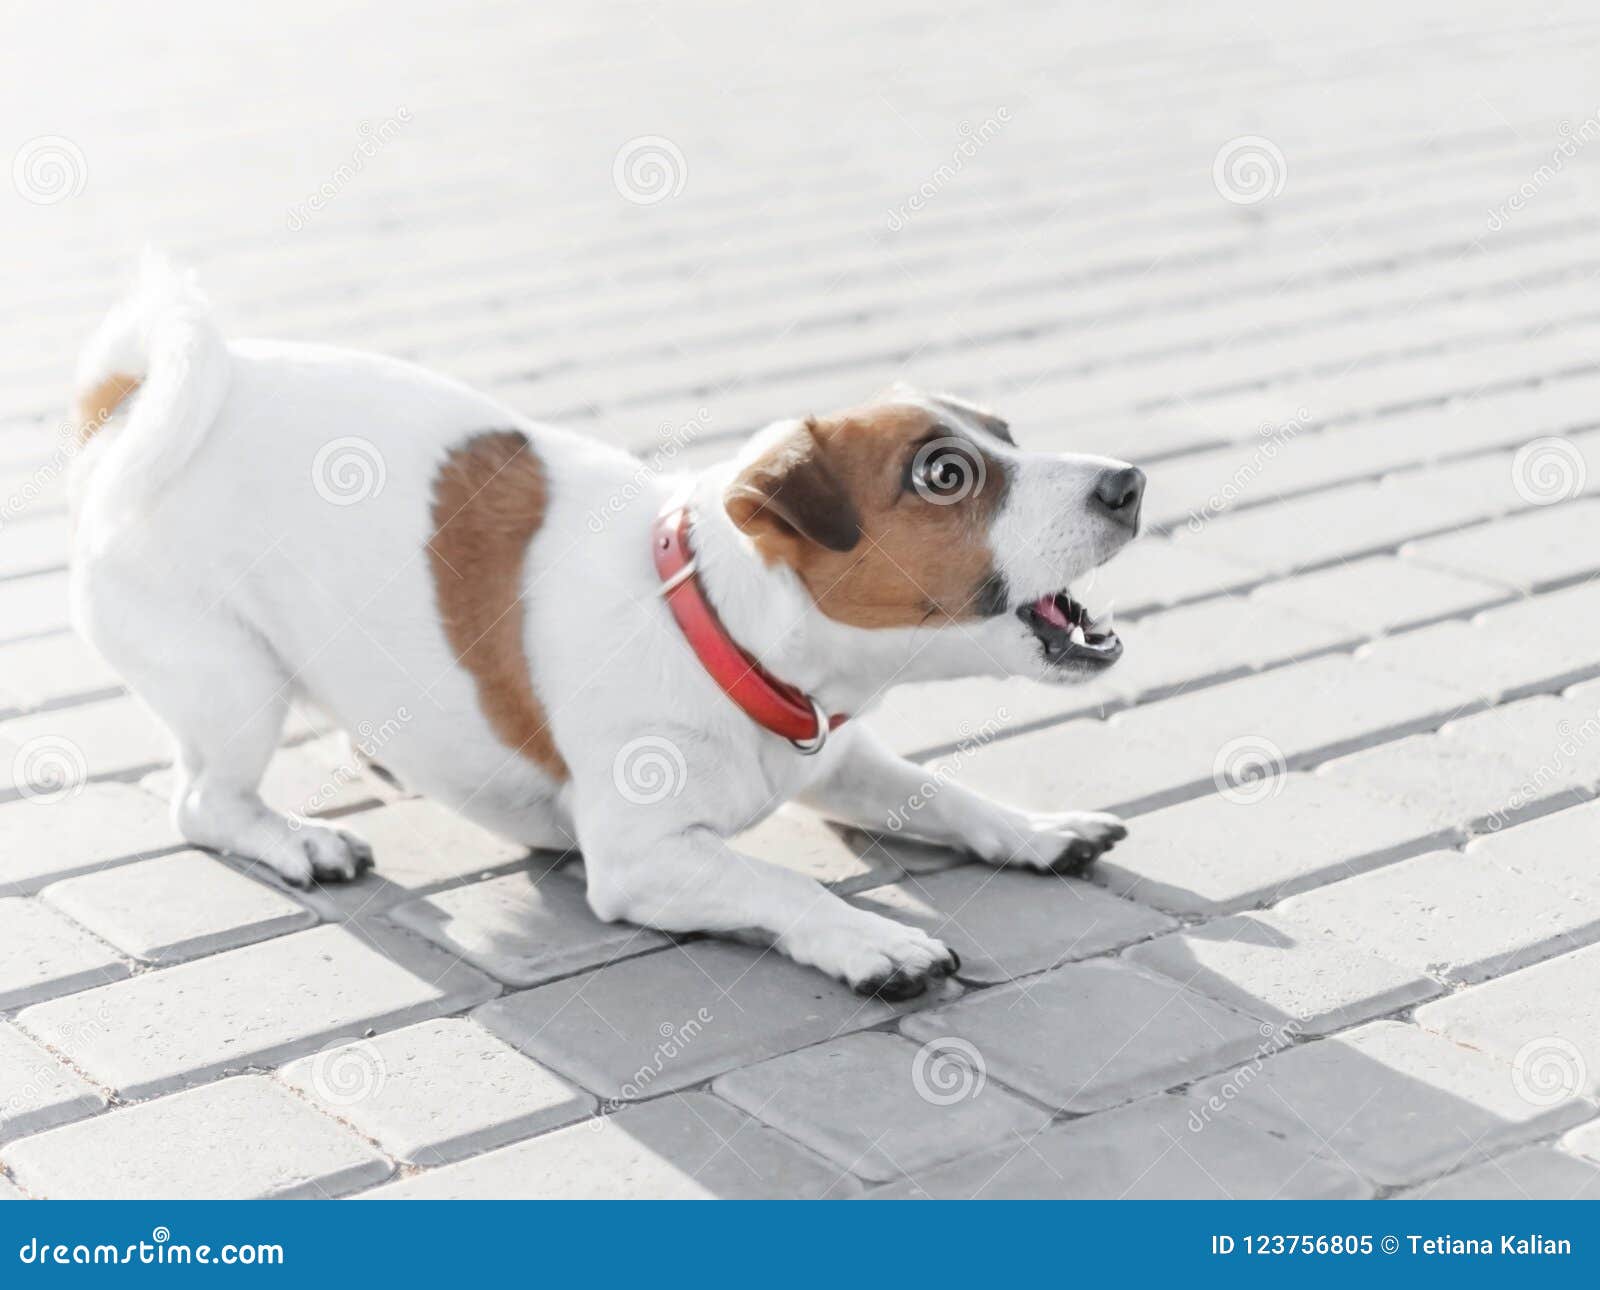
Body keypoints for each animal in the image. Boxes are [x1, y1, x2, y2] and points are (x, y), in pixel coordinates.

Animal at [72, 260, 1139, 998]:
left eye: (1005, 431)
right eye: (945, 473)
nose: (1129, 480)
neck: (712, 629)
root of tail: (130, 409)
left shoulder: (841, 758)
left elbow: (946, 792)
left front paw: (1034, 830)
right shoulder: (643, 860)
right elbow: (785, 886)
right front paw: (871, 939)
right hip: (232, 685)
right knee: (205, 802)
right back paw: (296, 841)